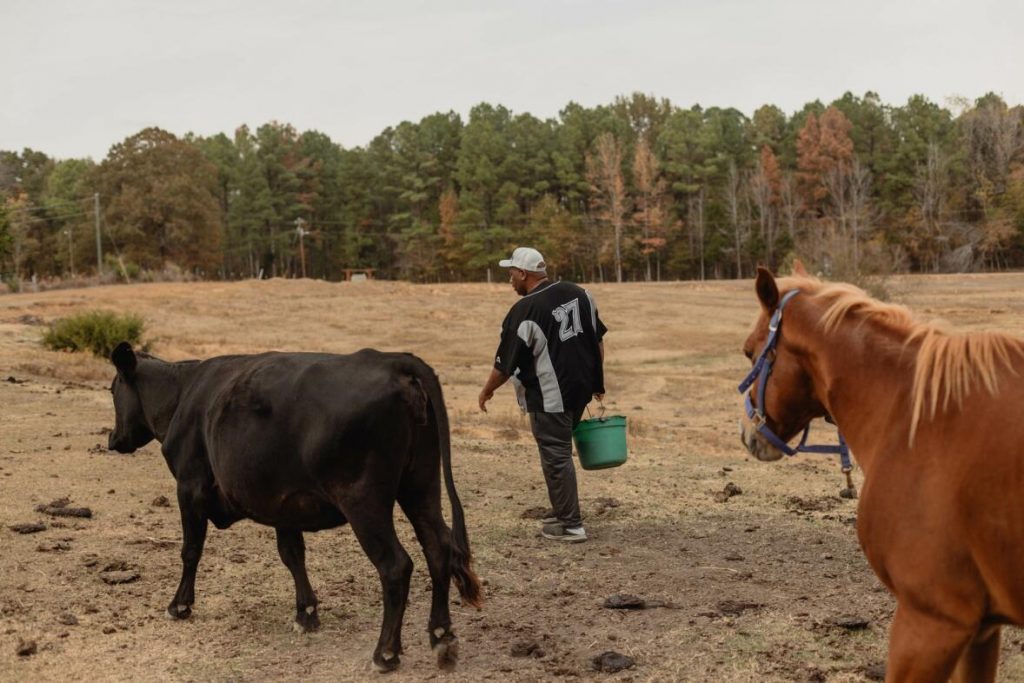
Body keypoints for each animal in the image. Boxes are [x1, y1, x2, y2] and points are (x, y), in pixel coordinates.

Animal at [105, 342, 481, 671]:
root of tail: (395, 361)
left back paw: (386, 653)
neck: (182, 394)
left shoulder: (189, 486)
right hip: (422, 486)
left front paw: (179, 605)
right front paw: (307, 613)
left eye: (112, 390)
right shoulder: (282, 503)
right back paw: (442, 636)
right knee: (438, 548)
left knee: (395, 565)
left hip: (365, 502)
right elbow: (292, 555)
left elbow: (190, 550)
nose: (112, 438)